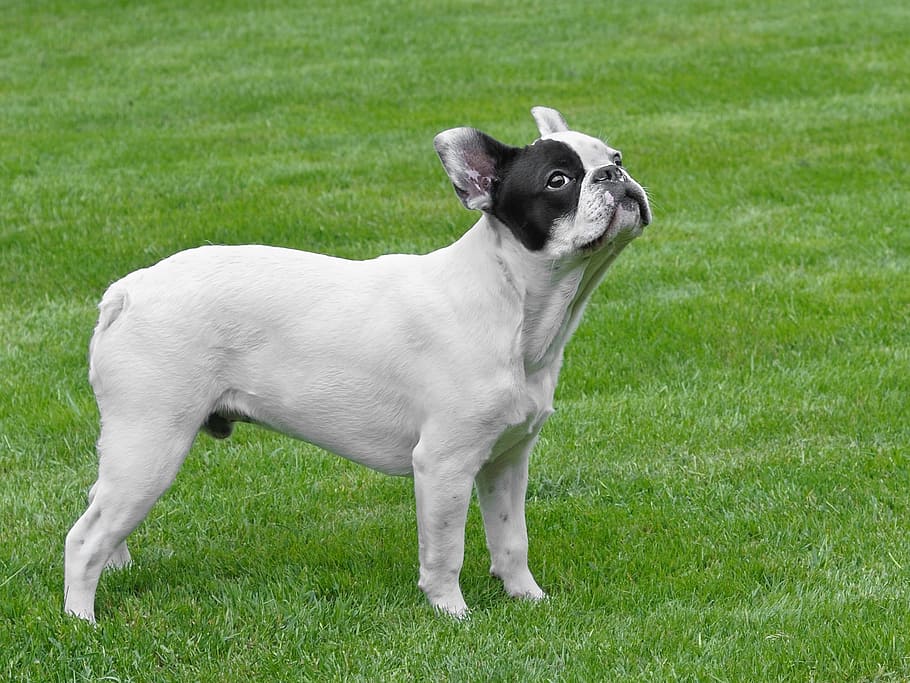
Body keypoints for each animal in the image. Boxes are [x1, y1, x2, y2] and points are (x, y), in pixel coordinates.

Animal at [62, 105, 648, 620]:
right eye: (558, 181)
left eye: (616, 156)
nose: (615, 174)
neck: (513, 302)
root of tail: (129, 291)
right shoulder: (444, 464)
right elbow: (445, 550)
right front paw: (452, 614)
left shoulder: (506, 460)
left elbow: (511, 538)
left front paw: (528, 598)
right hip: (152, 443)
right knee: (84, 536)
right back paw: (81, 619)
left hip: (135, 448)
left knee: (99, 507)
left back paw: (116, 570)